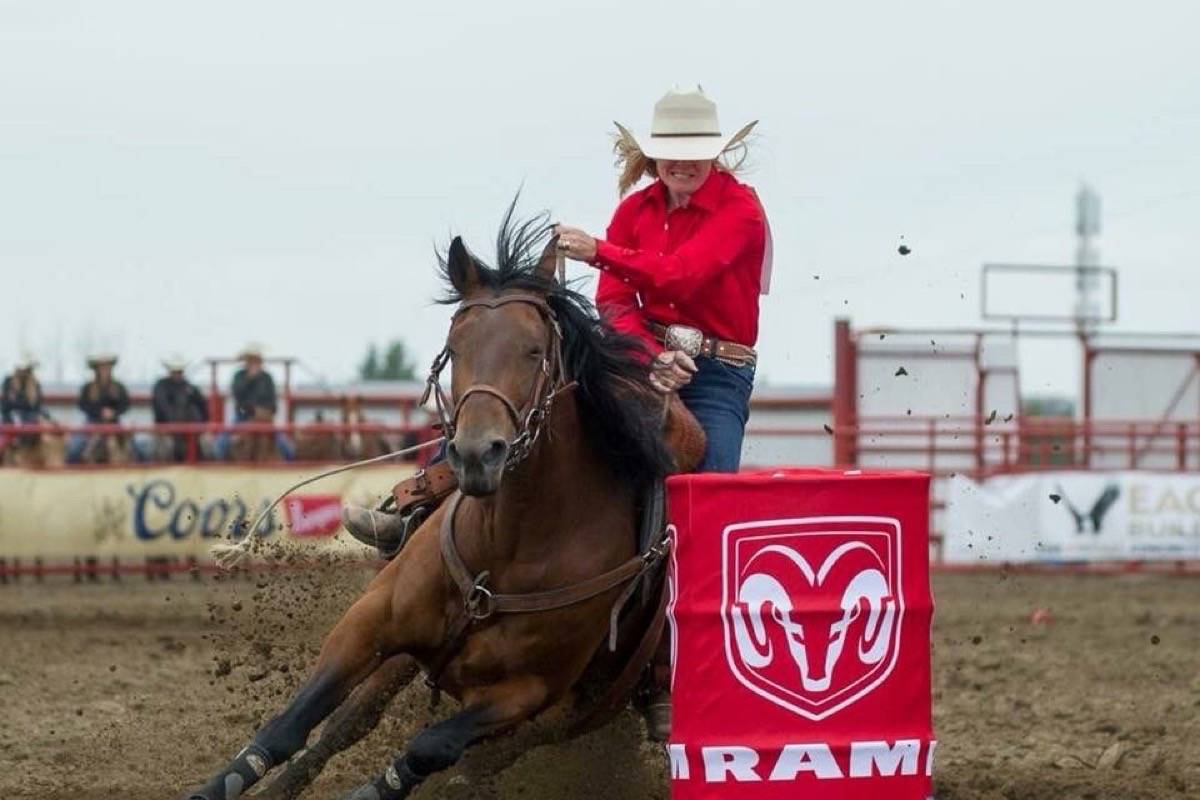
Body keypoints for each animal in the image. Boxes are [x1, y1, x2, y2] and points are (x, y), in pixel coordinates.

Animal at [187, 215, 700, 800]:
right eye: (455, 346)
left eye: (535, 350)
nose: (478, 453)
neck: (506, 548)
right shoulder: (370, 623)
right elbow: (291, 725)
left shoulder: (526, 694)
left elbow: (430, 748)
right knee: (348, 723)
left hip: (563, 717)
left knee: (470, 764)